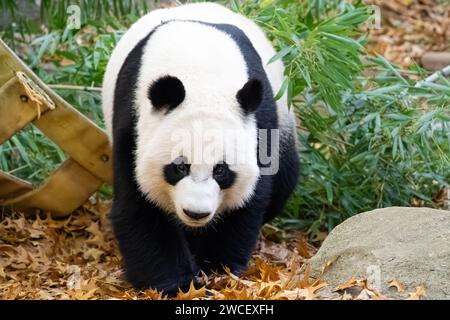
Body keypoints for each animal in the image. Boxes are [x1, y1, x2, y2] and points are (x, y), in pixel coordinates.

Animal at [102, 2, 298, 294]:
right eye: (180, 167)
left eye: (221, 171)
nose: (196, 213)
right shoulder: (133, 120)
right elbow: (140, 205)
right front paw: (177, 284)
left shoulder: (259, 125)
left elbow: (246, 203)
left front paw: (218, 270)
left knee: (284, 182)